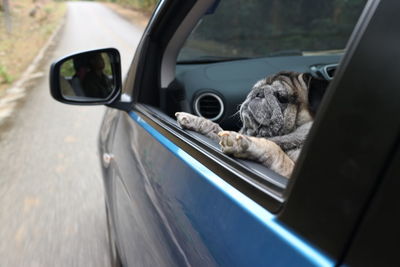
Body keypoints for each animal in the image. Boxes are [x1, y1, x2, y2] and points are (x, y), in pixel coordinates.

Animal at [176, 72, 328, 179]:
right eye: (255, 88)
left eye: (281, 98)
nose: (258, 92)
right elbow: (215, 128)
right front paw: (193, 119)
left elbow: (273, 148)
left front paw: (242, 142)